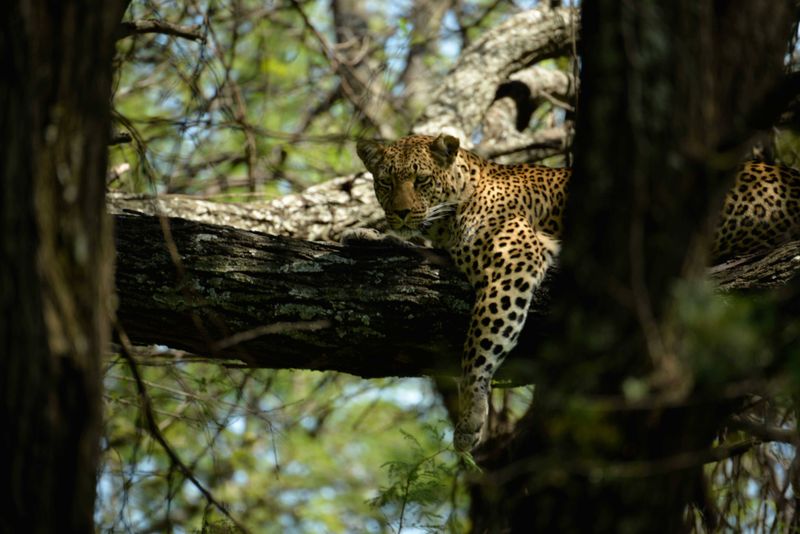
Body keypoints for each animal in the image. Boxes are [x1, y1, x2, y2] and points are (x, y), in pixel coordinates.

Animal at [353, 133, 800, 452]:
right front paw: (367, 236)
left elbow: (481, 341)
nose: (400, 214)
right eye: (385, 182)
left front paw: (471, 417)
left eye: (422, 180)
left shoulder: (515, 257)